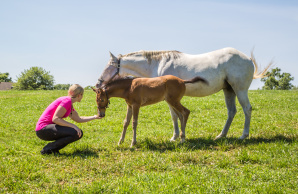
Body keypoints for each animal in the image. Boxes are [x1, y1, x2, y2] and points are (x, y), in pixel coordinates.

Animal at [96, 47, 272, 141]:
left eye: (109, 65)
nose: (98, 83)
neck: (159, 64)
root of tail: (247, 59)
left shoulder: (169, 99)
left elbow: (174, 116)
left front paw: (175, 137)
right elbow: (175, 116)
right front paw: (177, 136)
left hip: (240, 90)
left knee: (247, 109)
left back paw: (244, 135)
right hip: (228, 90)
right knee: (231, 112)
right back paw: (221, 135)